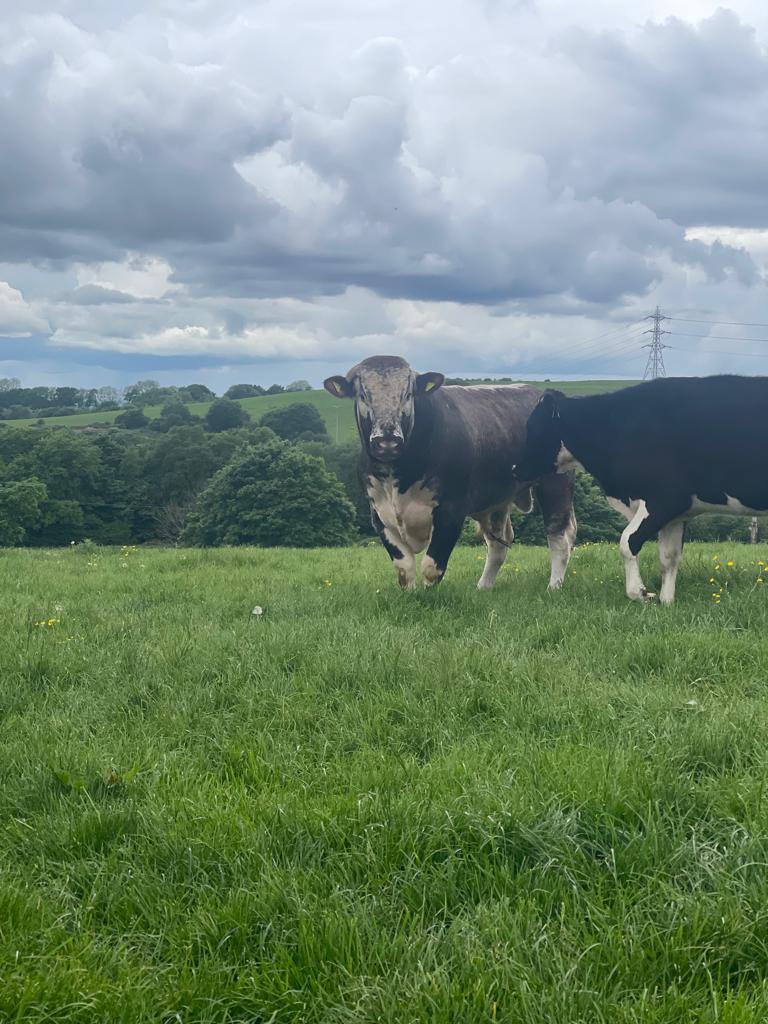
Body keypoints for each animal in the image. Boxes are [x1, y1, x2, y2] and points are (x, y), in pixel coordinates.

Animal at [324, 355, 577, 590]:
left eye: (408, 394)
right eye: (363, 395)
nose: (387, 440)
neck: (398, 474)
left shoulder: (451, 510)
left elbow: (431, 566)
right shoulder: (379, 514)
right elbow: (404, 568)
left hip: (555, 484)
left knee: (559, 537)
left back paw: (554, 586)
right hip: (497, 499)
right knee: (499, 543)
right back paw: (483, 587)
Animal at [515, 375, 768, 605]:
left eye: (533, 427)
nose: (515, 469)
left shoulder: (665, 500)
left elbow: (627, 542)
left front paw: (641, 593)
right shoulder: (679, 513)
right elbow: (669, 557)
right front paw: (666, 602)